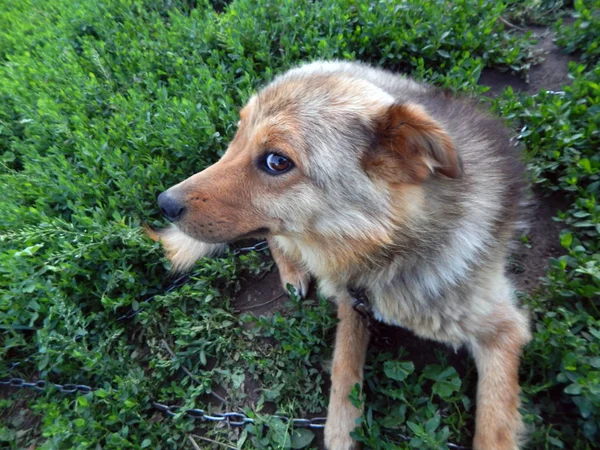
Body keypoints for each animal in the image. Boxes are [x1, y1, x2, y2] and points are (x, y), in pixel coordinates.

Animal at [152, 61, 532, 450]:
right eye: (238, 135)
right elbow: (344, 364)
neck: (392, 252)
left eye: (277, 161)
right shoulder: (353, 299)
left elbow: (494, 427)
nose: (164, 203)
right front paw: (340, 427)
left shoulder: (503, 328)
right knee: (276, 241)